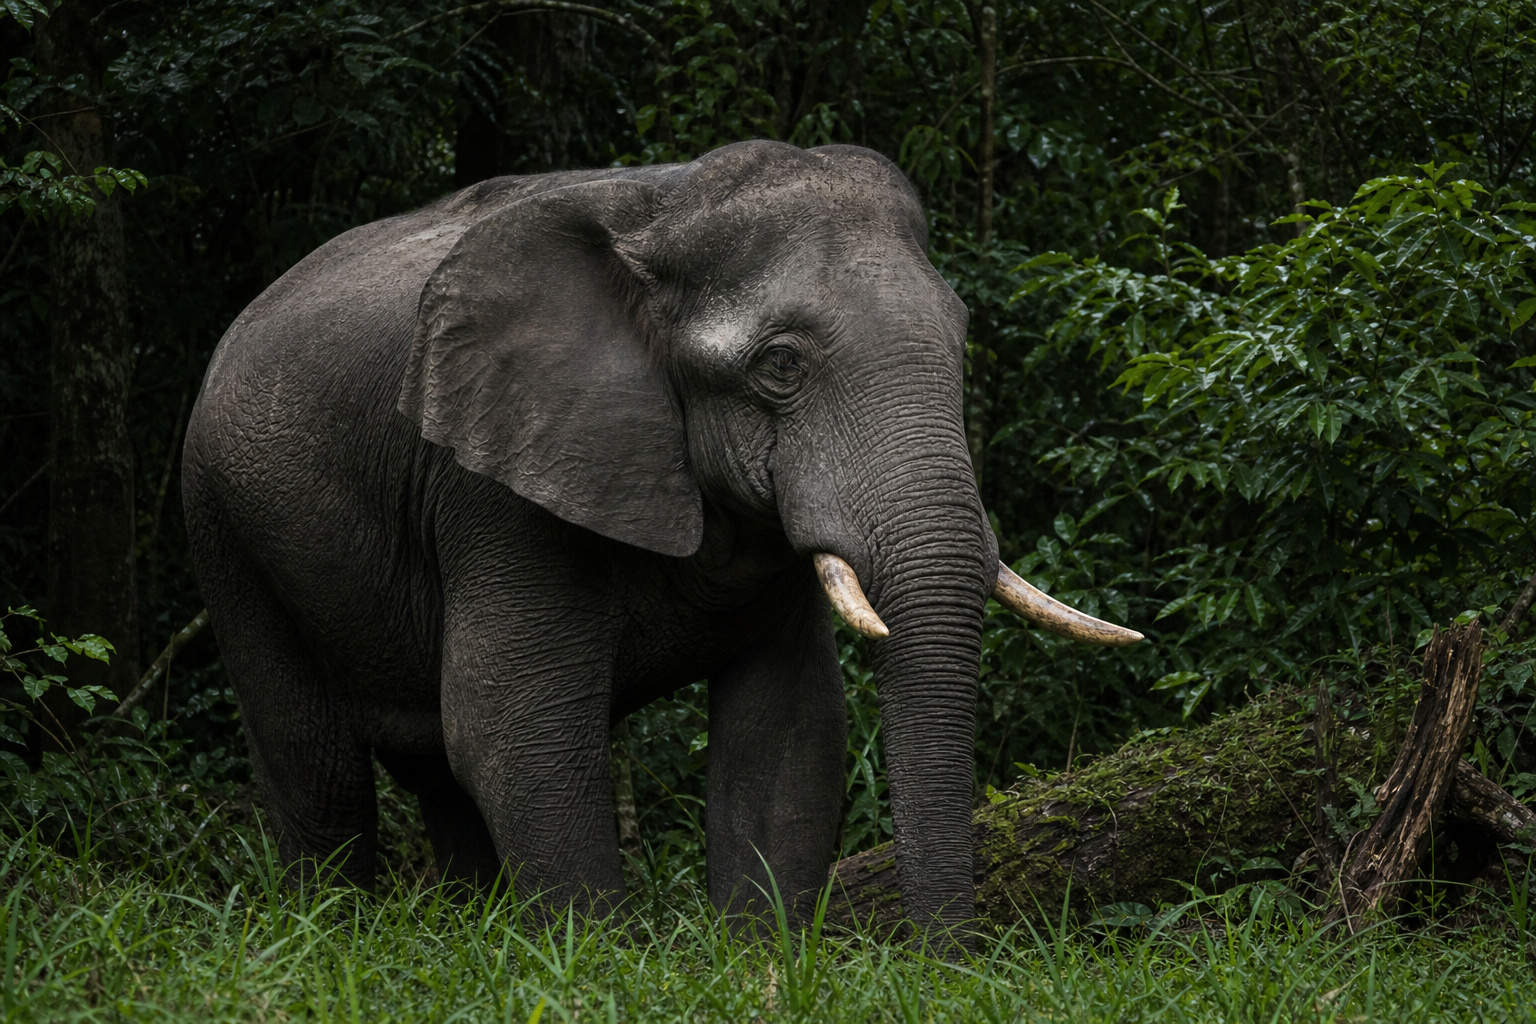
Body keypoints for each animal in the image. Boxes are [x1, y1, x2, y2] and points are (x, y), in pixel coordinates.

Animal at [183, 139, 1139, 940]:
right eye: (780, 366)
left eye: (962, 340)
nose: (951, 968)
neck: (663, 211)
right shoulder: (495, 488)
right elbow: (512, 726)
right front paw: (593, 964)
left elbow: (789, 731)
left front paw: (759, 963)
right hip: (224, 525)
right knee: (317, 768)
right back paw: (331, 937)